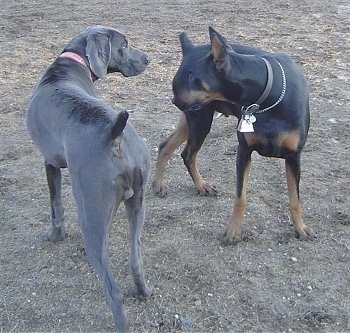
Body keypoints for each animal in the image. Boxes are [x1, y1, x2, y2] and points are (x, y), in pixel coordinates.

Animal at [26, 24, 152, 330]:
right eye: (124, 45)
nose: (148, 59)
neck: (70, 65)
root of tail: (114, 134)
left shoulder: (50, 162)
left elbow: (55, 206)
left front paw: (55, 235)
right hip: (139, 200)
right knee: (135, 260)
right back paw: (143, 292)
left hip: (90, 211)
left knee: (113, 291)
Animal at [153, 27, 314, 243]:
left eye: (193, 76)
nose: (173, 99)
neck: (268, 95)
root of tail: (189, 48)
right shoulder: (244, 151)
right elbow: (240, 197)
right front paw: (233, 231)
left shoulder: (293, 156)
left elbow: (295, 199)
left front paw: (301, 228)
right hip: (199, 118)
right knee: (186, 154)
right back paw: (197, 185)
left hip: (194, 118)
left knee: (167, 146)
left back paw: (162, 184)